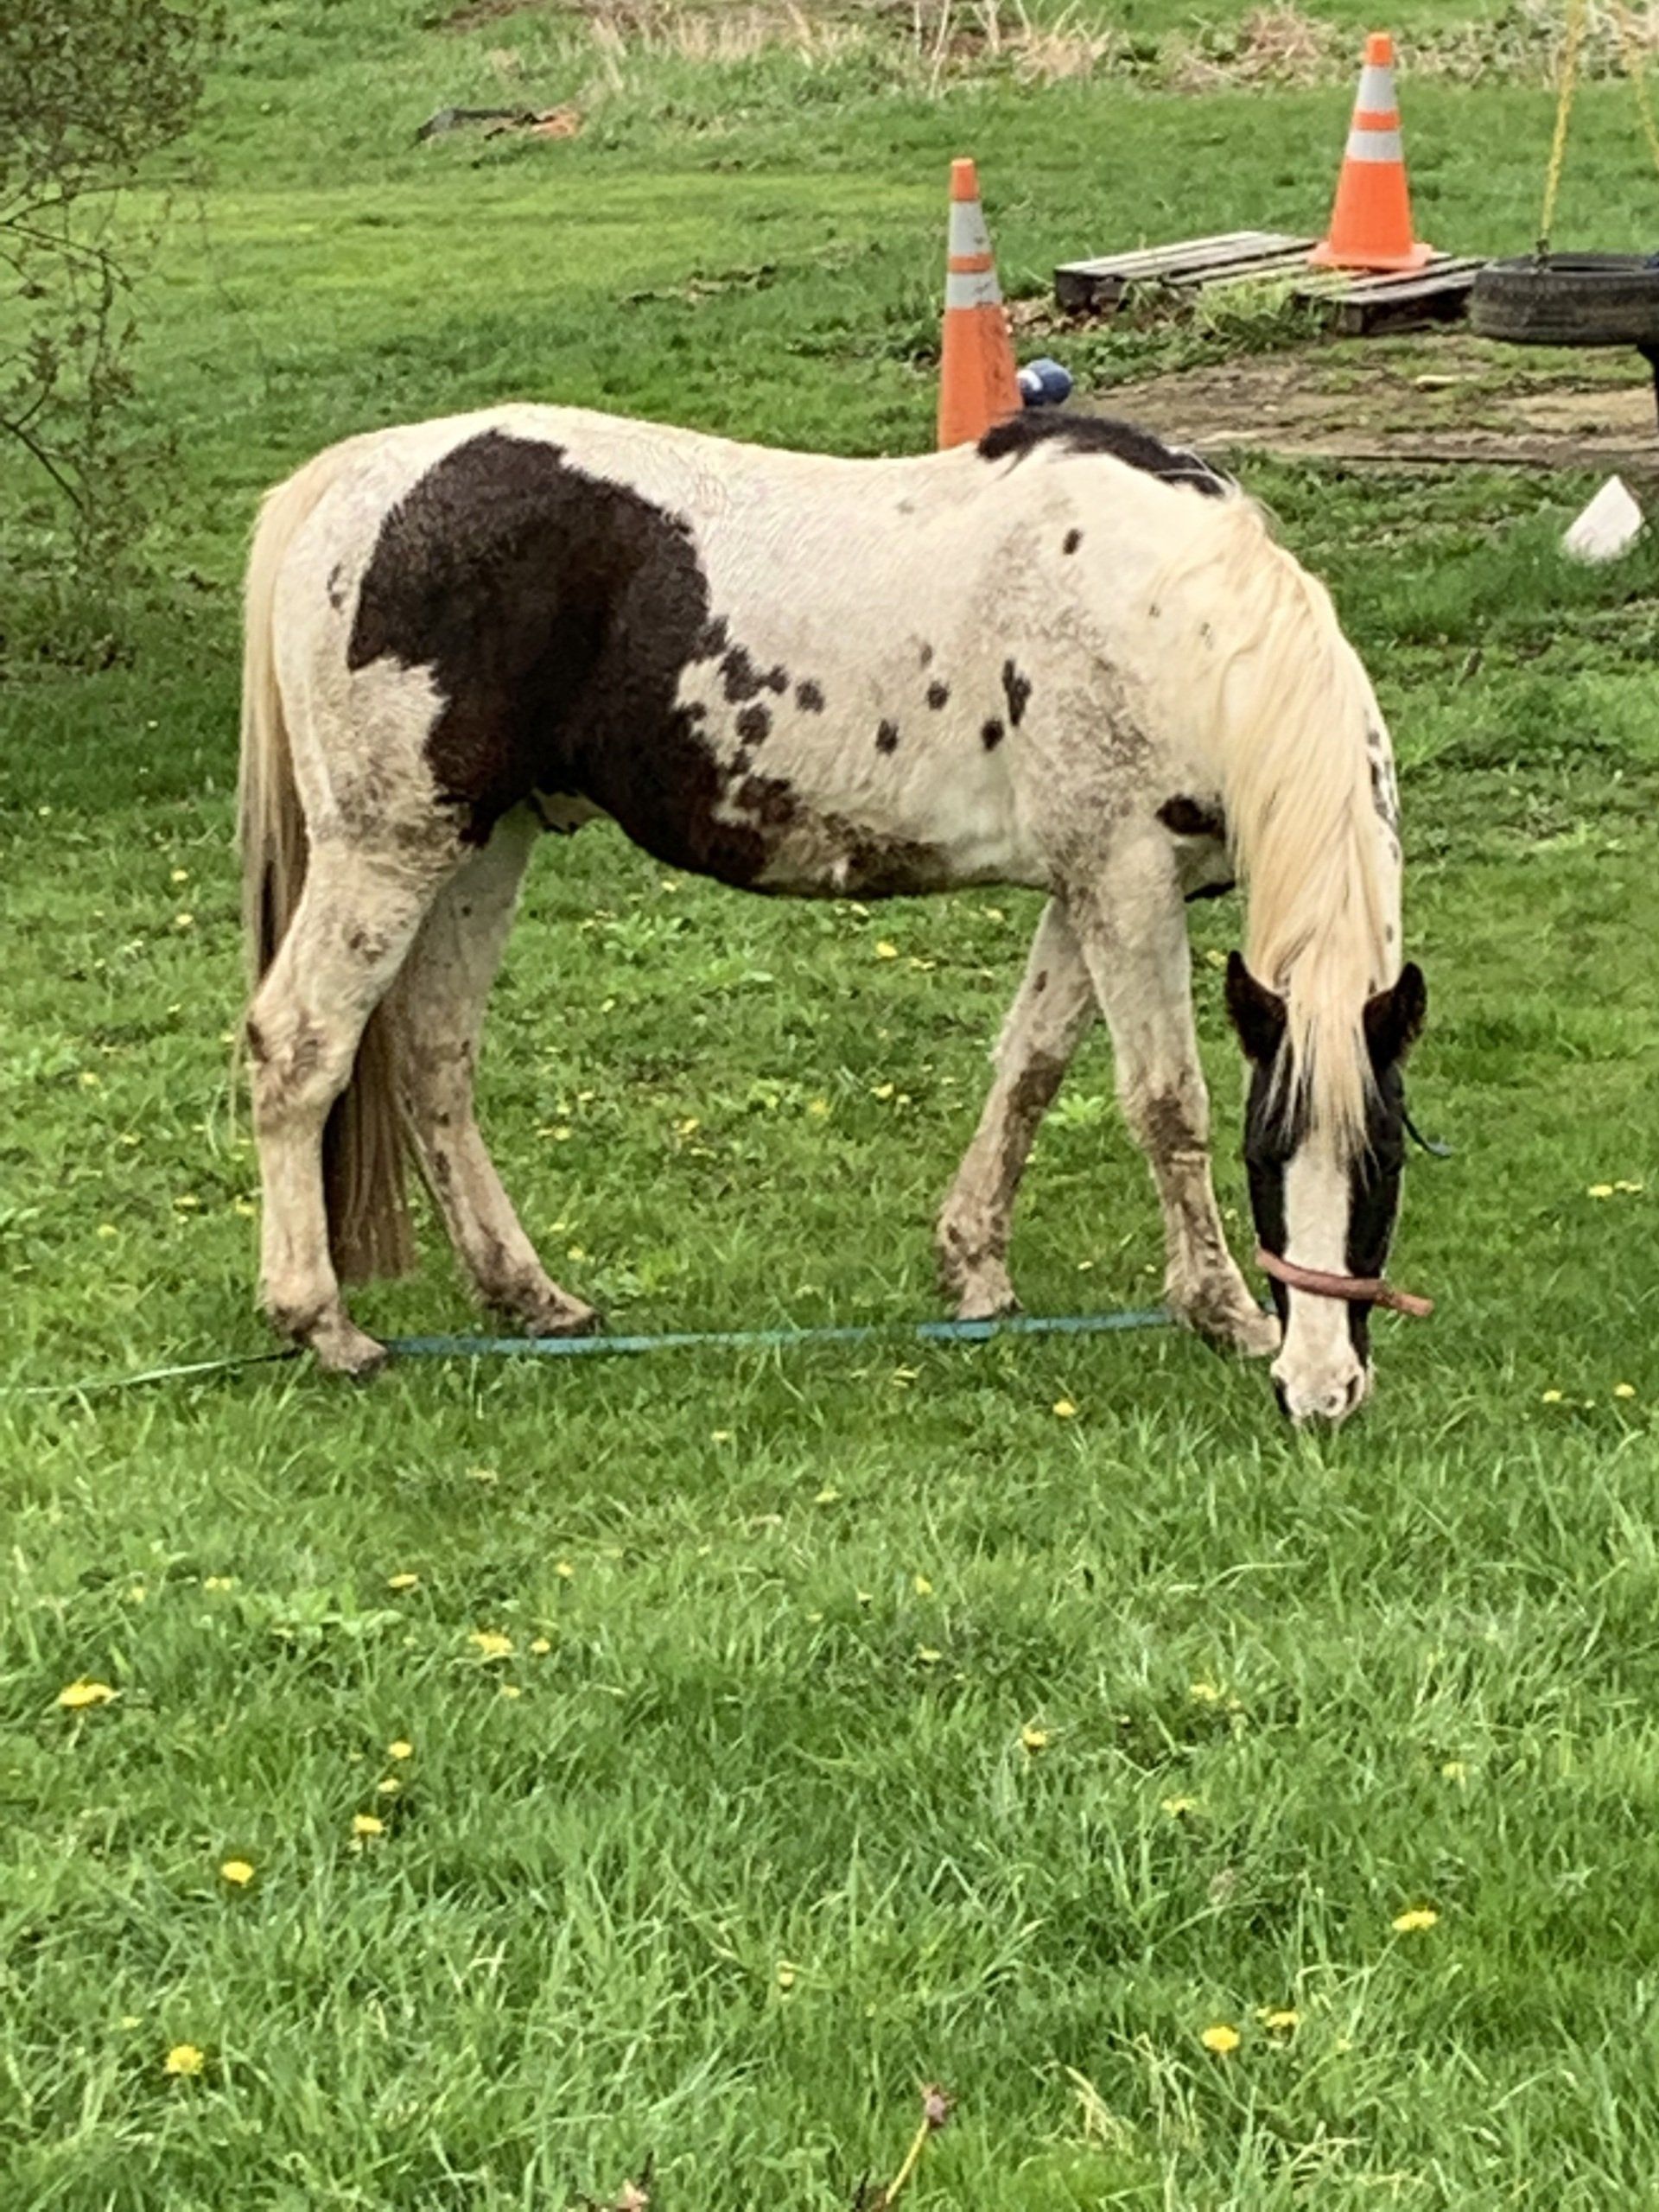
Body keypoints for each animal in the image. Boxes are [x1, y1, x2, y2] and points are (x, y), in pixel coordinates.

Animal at [238, 404, 1427, 1423]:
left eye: (1385, 1160)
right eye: (1268, 1154)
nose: (1320, 1390)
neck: (1171, 617)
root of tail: (347, 483)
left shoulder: (1097, 886)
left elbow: (1031, 1068)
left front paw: (974, 1268)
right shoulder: (1124, 880)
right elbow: (1165, 1104)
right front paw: (1220, 1309)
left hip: (488, 846)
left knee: (435, 1064)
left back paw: (528, 1297)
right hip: (389, 851)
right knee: (298, 1047)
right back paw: (323, 1325)